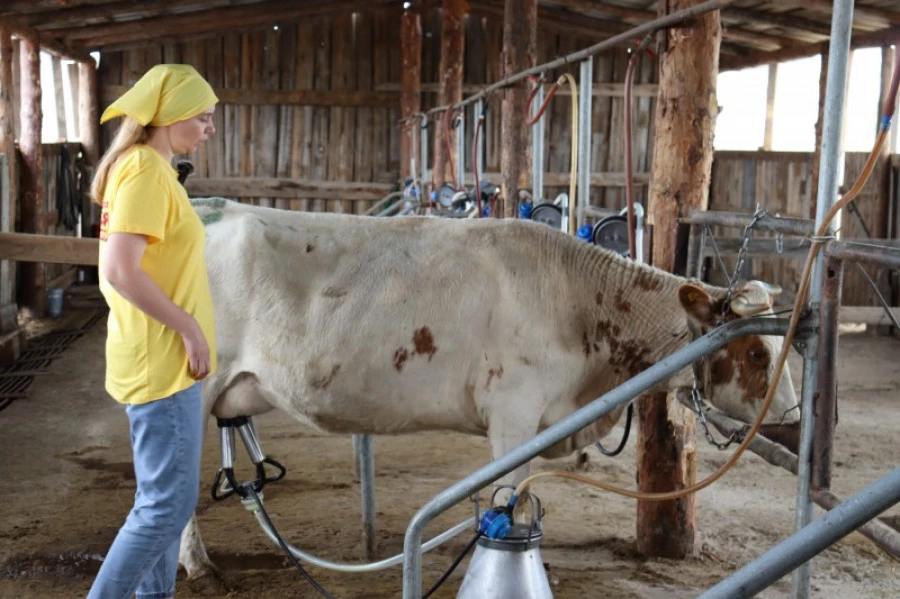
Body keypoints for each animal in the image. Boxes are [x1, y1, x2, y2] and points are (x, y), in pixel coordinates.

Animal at [179, 199, 800, 580]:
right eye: (754, 350)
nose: (792, 414)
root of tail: (210, 206)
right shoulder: (514, 415)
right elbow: (515, 500)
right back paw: (198, 565)